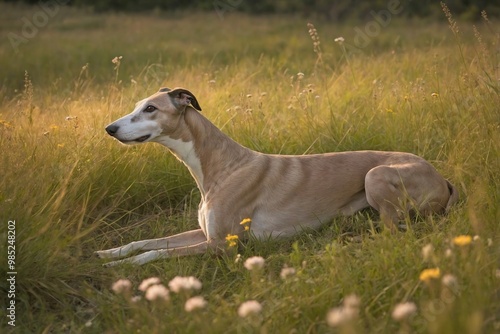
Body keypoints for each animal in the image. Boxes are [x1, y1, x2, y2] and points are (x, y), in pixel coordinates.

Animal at [95, 87, 458, 266]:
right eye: (138, 106)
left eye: (151, 109)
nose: (109, 129)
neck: (221, 166)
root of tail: (443, 180)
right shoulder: (205, 234)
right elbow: (146, 242)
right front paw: (109, 254)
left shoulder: (222, 245)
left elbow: (156, 253)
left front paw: (121, 267)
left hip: (376, 174)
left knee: (393, 232)